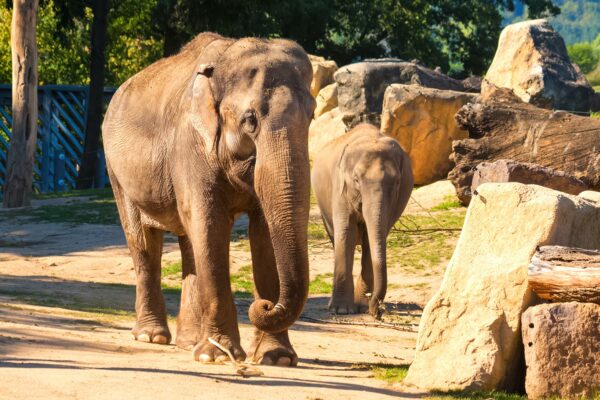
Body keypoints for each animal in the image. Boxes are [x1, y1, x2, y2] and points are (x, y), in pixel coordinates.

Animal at [103, 32, 316, 368]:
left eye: (312, 115)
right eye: (250, 120)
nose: (265, 306)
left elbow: (264, 232)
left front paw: (277, 358)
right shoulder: (190, 145)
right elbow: (209, 223)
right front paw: (214, 357)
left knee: (189, 242)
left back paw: (188, 342)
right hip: (116, 172)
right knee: (143, 241)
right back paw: (152, 337)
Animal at [310, 123, 412, 318]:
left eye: (396, 182)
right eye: (356, 180)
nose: (377, 312)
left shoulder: (397, 199)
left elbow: (371, 240)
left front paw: (363, 307)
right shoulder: (340, 188)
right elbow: (346, 233)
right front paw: (341, 310)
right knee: (336, 238)